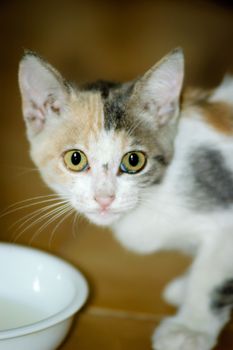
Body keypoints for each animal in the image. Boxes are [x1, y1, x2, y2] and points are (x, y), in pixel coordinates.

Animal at [17, 49, 233, 350]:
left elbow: (211, 276)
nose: (104, 197)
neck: (159, 189)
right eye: (75, 159)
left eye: (134, 161)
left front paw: (191, 328)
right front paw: (186, 289)